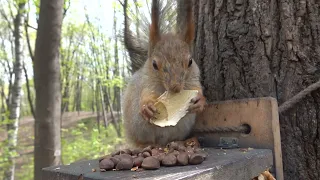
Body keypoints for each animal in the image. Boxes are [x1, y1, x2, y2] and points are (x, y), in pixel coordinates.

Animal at [121, 0, 206, 148]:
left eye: (190, 61)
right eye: (154, 64)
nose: (176, 88)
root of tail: (162, 143)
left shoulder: (194, 80)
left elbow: (197, 90)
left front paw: (200, 101)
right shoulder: (147, 84)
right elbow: (146, 95)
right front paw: (147, 107)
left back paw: (186, 141)